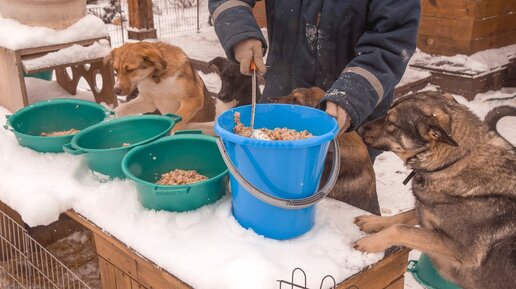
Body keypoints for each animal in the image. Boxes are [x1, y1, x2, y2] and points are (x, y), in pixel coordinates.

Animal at [352, 91, 512, 288]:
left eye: (391, 123)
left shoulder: (461, 250)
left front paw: (370, 242)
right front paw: (373, 222)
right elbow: (405, 216)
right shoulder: (426, 208)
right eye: (386, 115)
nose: (359, 129)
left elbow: (402, 229)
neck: (454, 162)